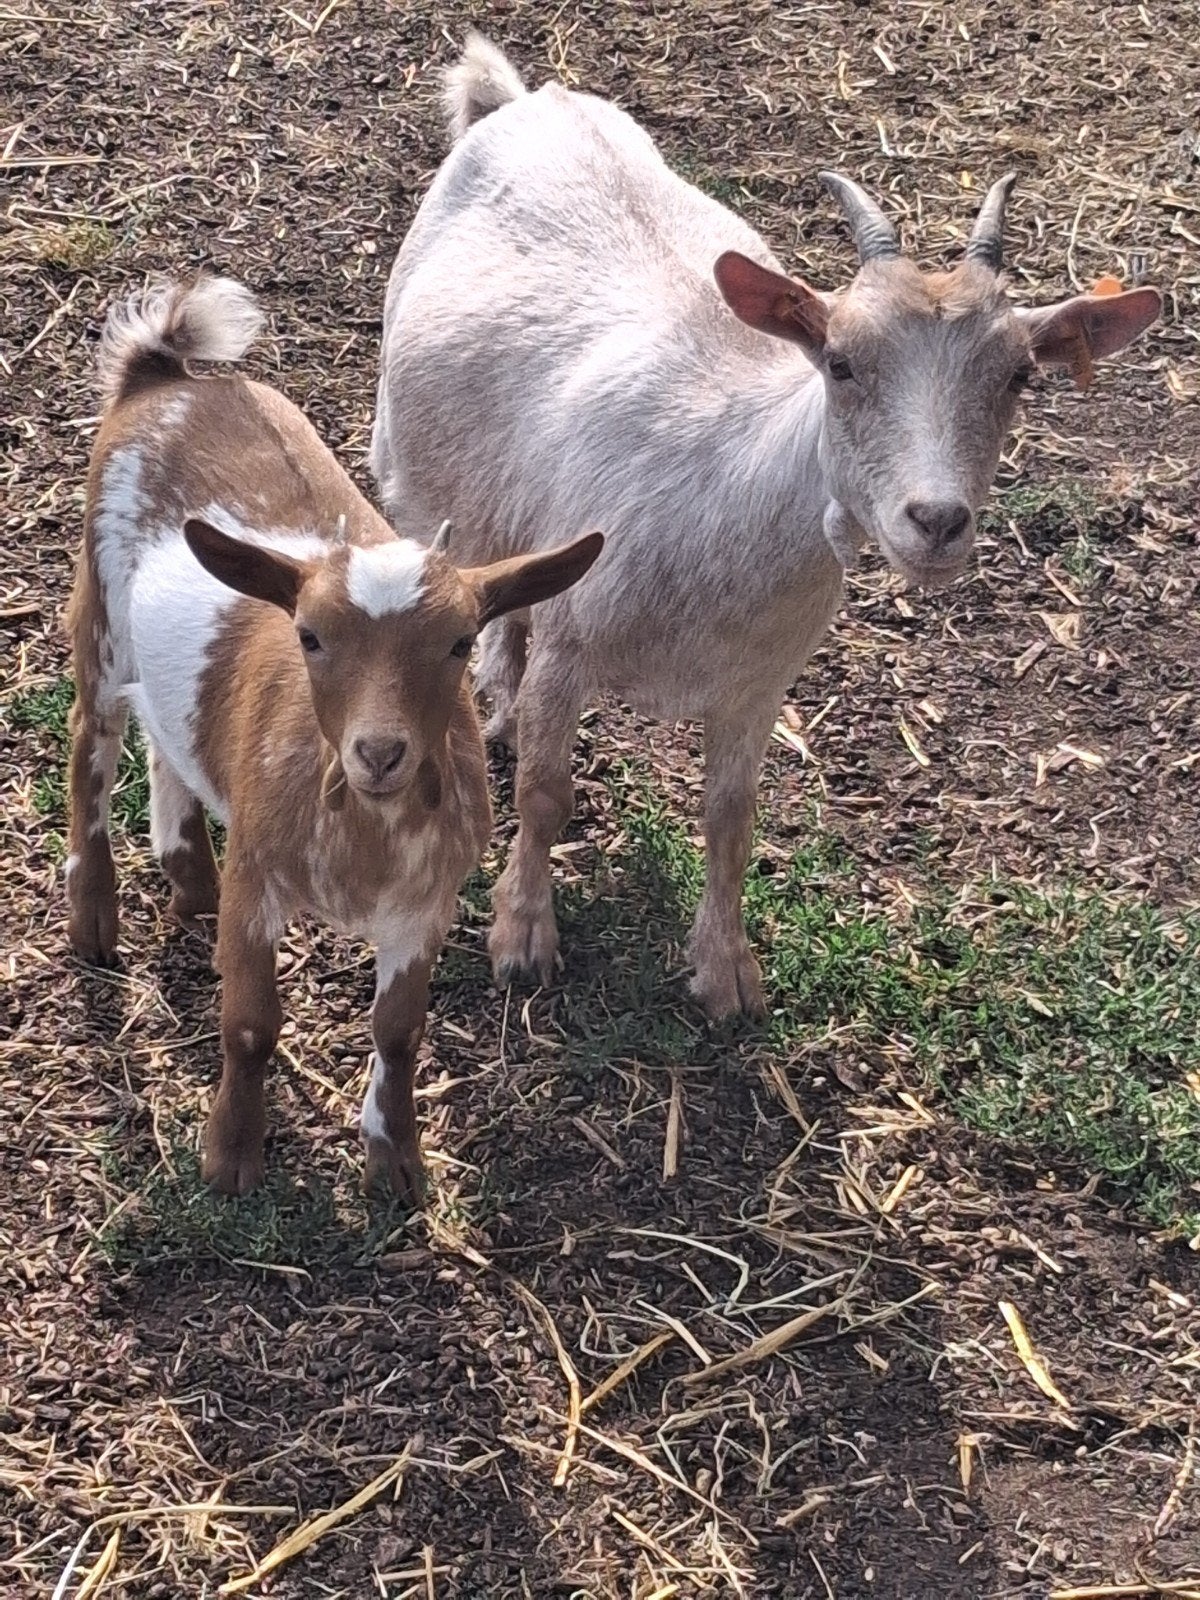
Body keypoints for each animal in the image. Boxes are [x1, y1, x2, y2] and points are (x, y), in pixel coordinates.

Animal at [66, 276, 602, 1197]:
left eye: (460, 642)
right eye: (309, 636)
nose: (379, 754)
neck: (366, 836)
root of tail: (165, 377)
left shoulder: (423, 904)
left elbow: (398, 1032)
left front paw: (395, 1160)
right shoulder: (259, 877)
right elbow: (251, 1025)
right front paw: (232, 1159)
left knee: (168, 736)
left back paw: (188, 877)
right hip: (99, 609)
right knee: (89, 745)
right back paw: (93, 921)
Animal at [370, 34, 1162, 1022]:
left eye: (1020, 376)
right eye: (841, 362)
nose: (938, 520)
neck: (726, 490)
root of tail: (530, 98)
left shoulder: (758, 684)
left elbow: (731, 817)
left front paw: (727, 974)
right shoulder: (574, 645)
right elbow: (548, 793)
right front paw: (522, 942)